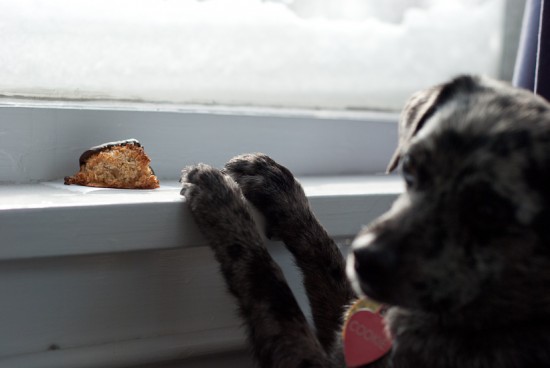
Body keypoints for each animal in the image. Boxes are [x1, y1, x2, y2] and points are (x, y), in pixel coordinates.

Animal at [180, 75, 550, 368]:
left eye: (489, 210)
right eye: (410, 167)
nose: (363, 260)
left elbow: (270, 287)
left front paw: (222, 202)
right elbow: (326, 261)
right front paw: (277, 188)